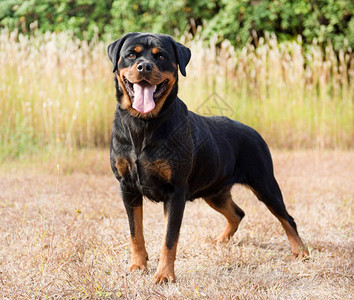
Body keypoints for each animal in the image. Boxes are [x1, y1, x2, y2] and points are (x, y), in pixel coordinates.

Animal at [106, 32, 308, 284]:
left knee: (286, 217)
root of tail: (254, 132)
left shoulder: (175, 191)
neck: (143, 125)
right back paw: (221, 240)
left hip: (264, 183)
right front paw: (138, 265)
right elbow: (135, 232)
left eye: (161, 56)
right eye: (131, 55)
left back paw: (301, 251)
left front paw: (164, 275)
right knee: (237, 213)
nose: (144, 66)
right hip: (215, 192)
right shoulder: (127, 187)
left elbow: (169, 238)